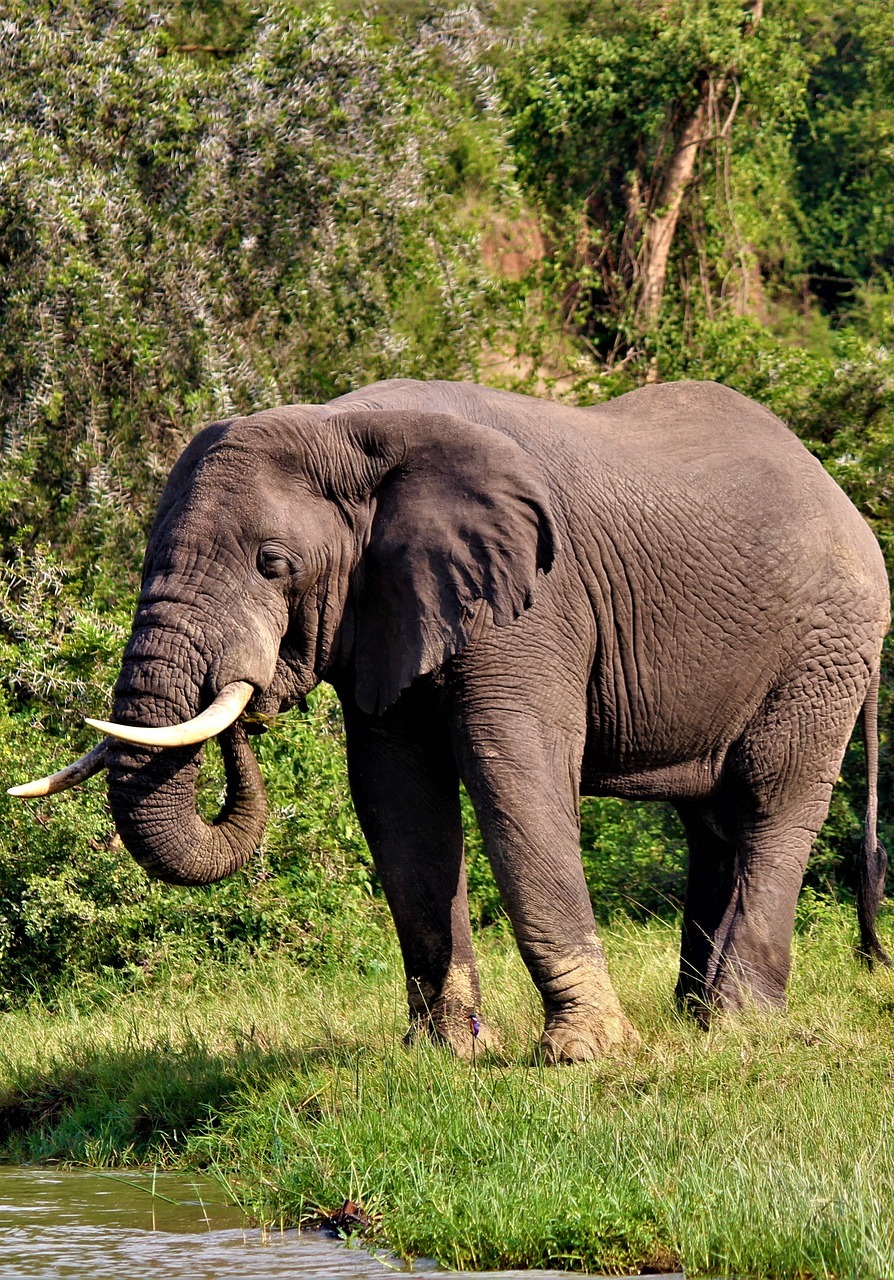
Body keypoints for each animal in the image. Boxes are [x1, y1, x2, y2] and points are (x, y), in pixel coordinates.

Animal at [10, 376, 886, 1059]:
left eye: (273, 564)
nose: (247, 712)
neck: (346, 429)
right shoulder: (386, 606)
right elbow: (398, 800)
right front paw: (445, 1053)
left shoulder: (537, 603)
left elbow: (514, 774)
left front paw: (586, 1055)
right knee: (709, 824)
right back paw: (695, 1019)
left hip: (827, 648)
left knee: (771, 804)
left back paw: (738, 1028)